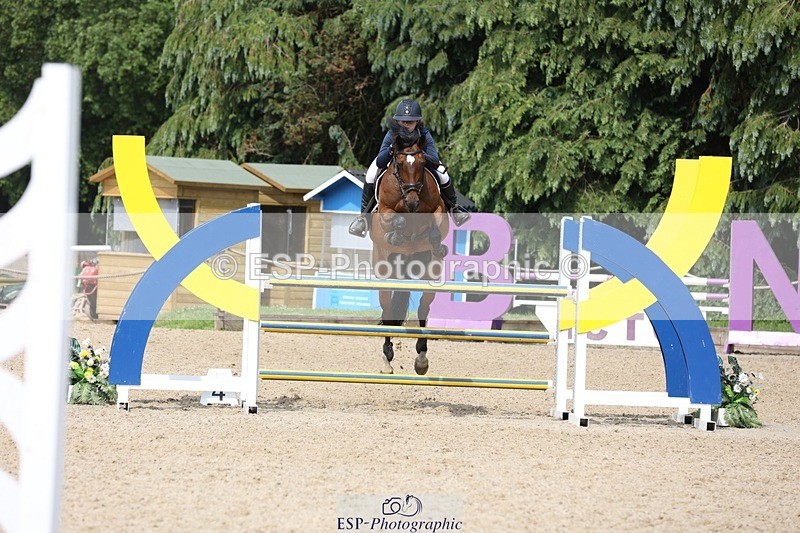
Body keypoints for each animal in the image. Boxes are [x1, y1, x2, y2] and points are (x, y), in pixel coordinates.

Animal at [367, 128, 450, 375]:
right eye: (400, 163)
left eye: (423, 163)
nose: (413, 202)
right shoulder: (385, 210)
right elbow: (396, 220)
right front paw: (396, 234)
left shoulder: (438, 209)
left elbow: (435, 224)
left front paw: (436, 242)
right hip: (385, 277)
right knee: (387, 311)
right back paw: (387, 358)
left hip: (429, 277)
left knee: (423, 308)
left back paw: (422, 358)